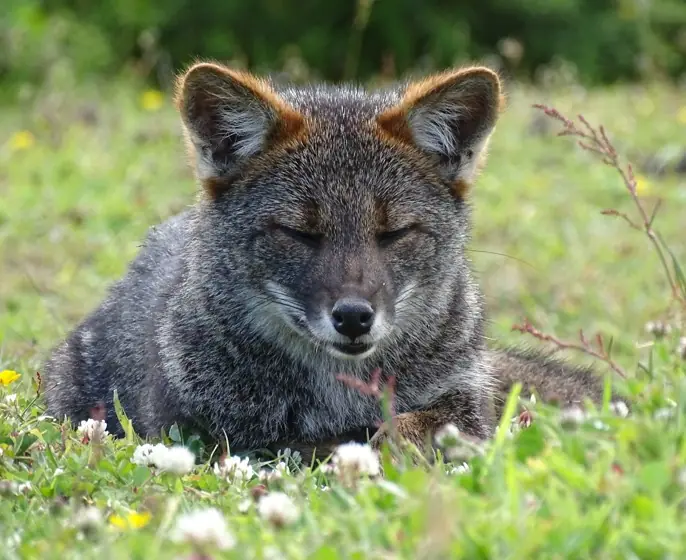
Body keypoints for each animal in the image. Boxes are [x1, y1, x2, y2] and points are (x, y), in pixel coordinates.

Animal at [43, 61, 621, 460]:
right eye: (300, 234)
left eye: (394, 233)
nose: (354, 317)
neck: (338, 394)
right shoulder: (204, 432)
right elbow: (318, 445)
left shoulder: (464, 402)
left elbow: (409, 428)